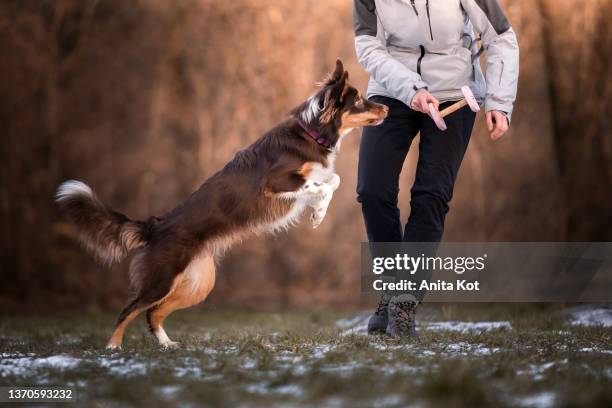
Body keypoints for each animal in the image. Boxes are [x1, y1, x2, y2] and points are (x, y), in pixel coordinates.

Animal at [56, 59, 388, 350]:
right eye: (359, 100)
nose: (386, 106)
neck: (311, 132)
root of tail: (154, 226)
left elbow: (334, 181)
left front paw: (318, 213)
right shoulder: (276, 181)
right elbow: (323, 185)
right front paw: (318, 213)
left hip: (198, 283)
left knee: (153, 313)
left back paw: (167, 345)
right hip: (161, 278)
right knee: (130, 309)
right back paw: (113, 348)